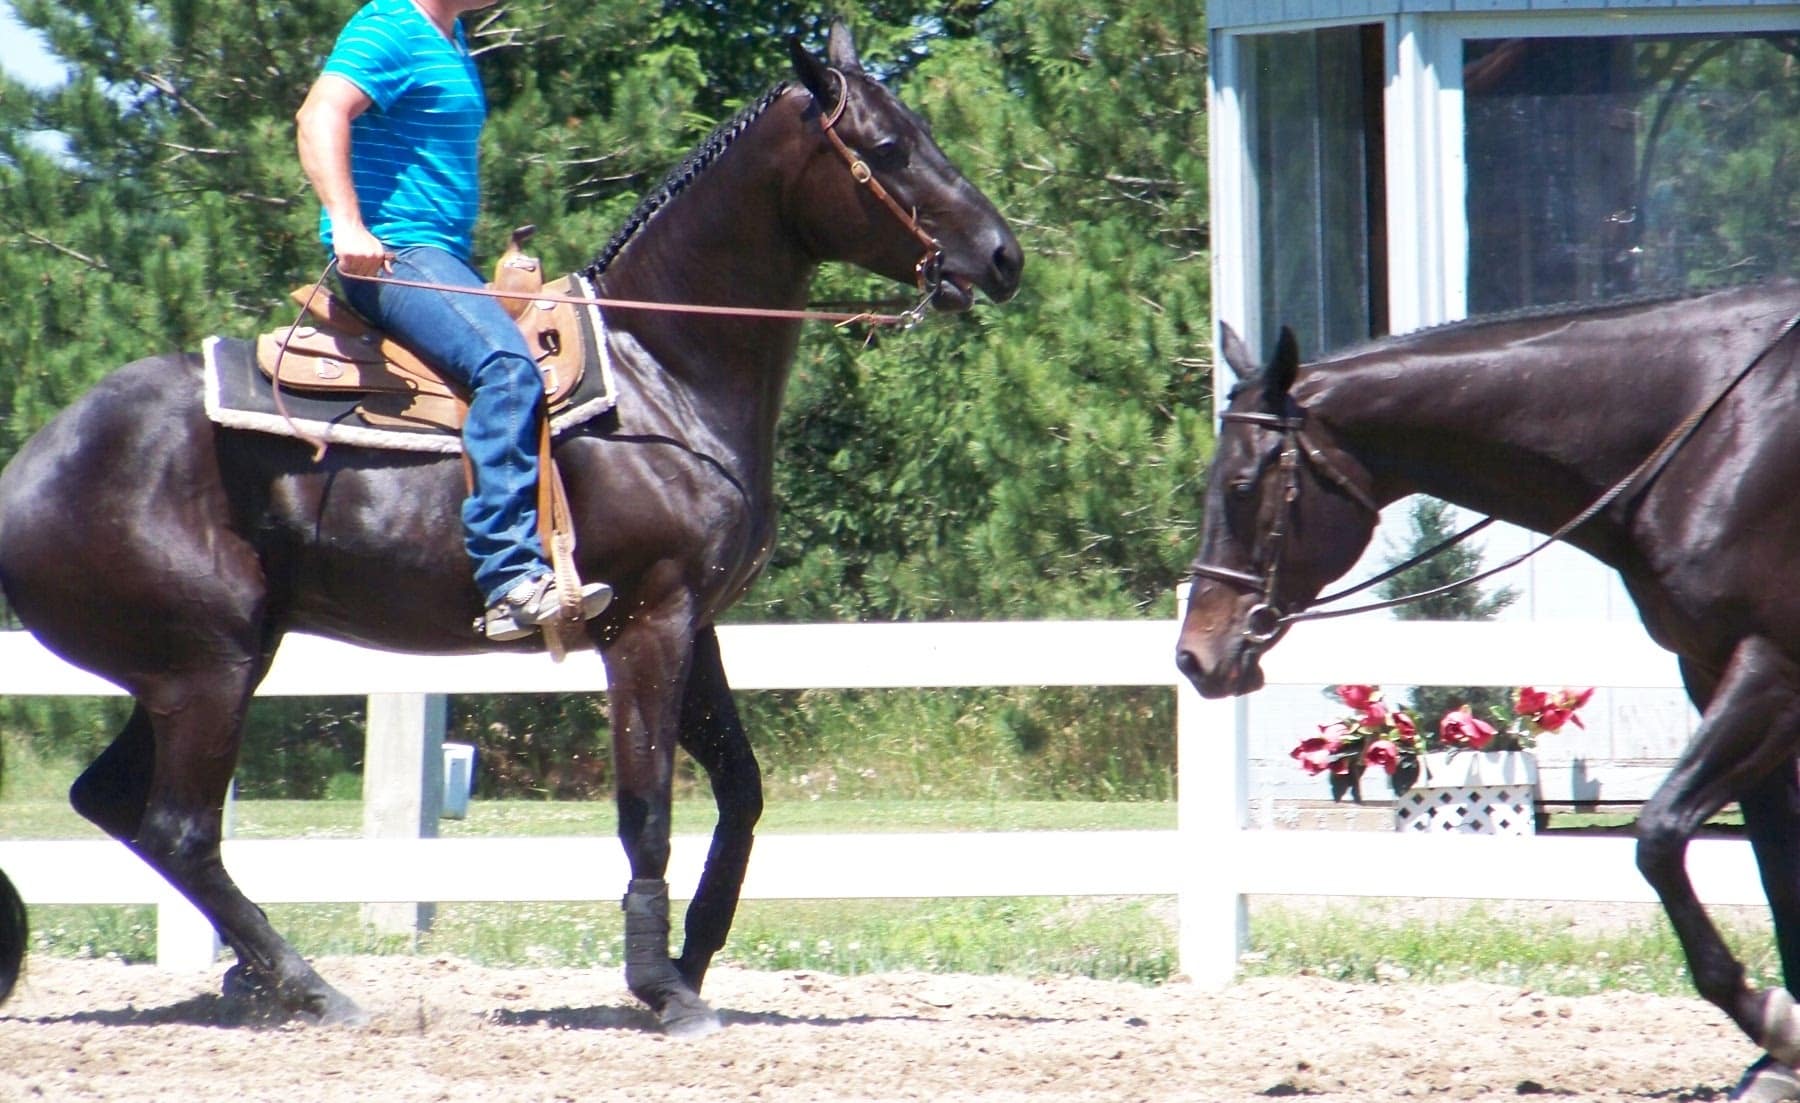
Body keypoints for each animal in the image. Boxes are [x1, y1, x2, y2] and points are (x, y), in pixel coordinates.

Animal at [0, 25, 1022, 1036]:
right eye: (888, 147)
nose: (1003, 255)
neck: (663, 373)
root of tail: (29, 467)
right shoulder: (646, 623)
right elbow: (647, 808)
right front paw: (661, 988)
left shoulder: (697, 623)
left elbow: (741, 791)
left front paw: (692, 957)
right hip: (206, 669)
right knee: (180, 827)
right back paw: (310, 987)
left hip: (194, 670)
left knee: (119, 806)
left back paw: (255, 983)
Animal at [1173, 282, 1800, 1094]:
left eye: (1242, 485)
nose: (1196, 657)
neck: (1715, 426)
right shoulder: (1717, 670)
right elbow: (1778, 858)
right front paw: (1783, 1051)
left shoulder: (1771, 668)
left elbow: (1660, 836)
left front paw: (1773, 1024)